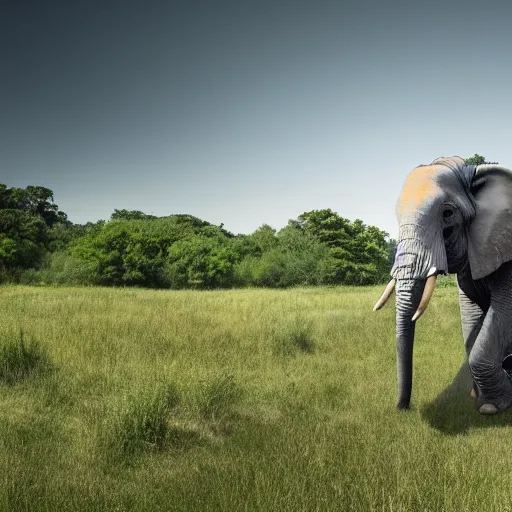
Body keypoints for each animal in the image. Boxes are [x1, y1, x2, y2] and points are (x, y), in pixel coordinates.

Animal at [374, 156, 512, 416]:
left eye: (447, 213)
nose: (403, 408)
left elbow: (503, 312)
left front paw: (490, 407)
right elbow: (471, 318)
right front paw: (477, 396)